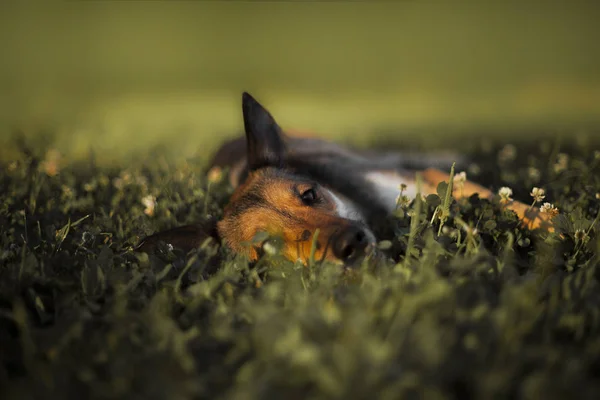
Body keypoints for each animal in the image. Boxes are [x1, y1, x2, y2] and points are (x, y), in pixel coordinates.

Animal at [137, 91, 552, 266]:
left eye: (309, 194)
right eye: (266, 245)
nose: (351, 241)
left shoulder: (417, 181)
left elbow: (528, 211)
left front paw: (554, 226)